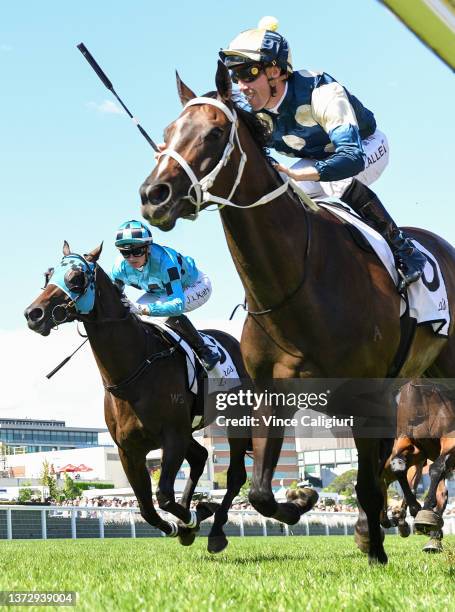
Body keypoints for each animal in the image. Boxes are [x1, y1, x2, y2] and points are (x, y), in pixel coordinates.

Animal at [23, 241, 251, 552]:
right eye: (48, 275)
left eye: (76, 277)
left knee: (235, 475)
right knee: (201, 456)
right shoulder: (129, 449)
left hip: (236, 418)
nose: (33, 314)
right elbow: (147, 508)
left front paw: (194, 516)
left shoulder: (172, 437)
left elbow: (163, 495)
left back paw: (216, 531)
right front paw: (183, 523)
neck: (133, 372)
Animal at [138, 62, 455, 564]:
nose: (155, 194)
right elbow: (260, 491)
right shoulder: (274, 391)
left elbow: (370, 482)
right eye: (168, 132)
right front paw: (304, 500)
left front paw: (376, 549)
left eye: (214, 133)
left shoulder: (367, 396)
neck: (297, 283)